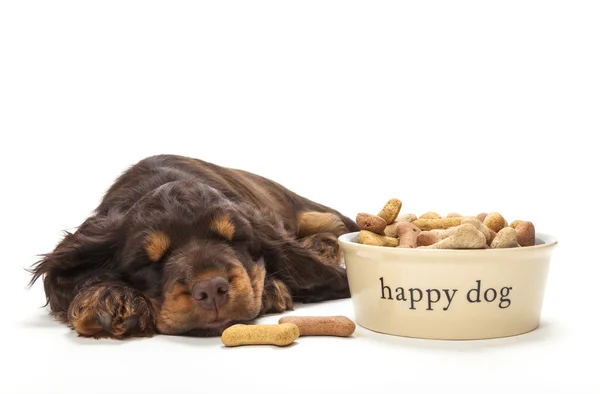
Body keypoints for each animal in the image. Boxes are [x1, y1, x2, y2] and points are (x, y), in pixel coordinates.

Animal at [28, 154, 358, 338]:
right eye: (149, 262)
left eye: (234, 240)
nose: (211, 289)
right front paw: (109, 298)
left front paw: (270, 289)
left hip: (308, 210)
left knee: (335, 222)